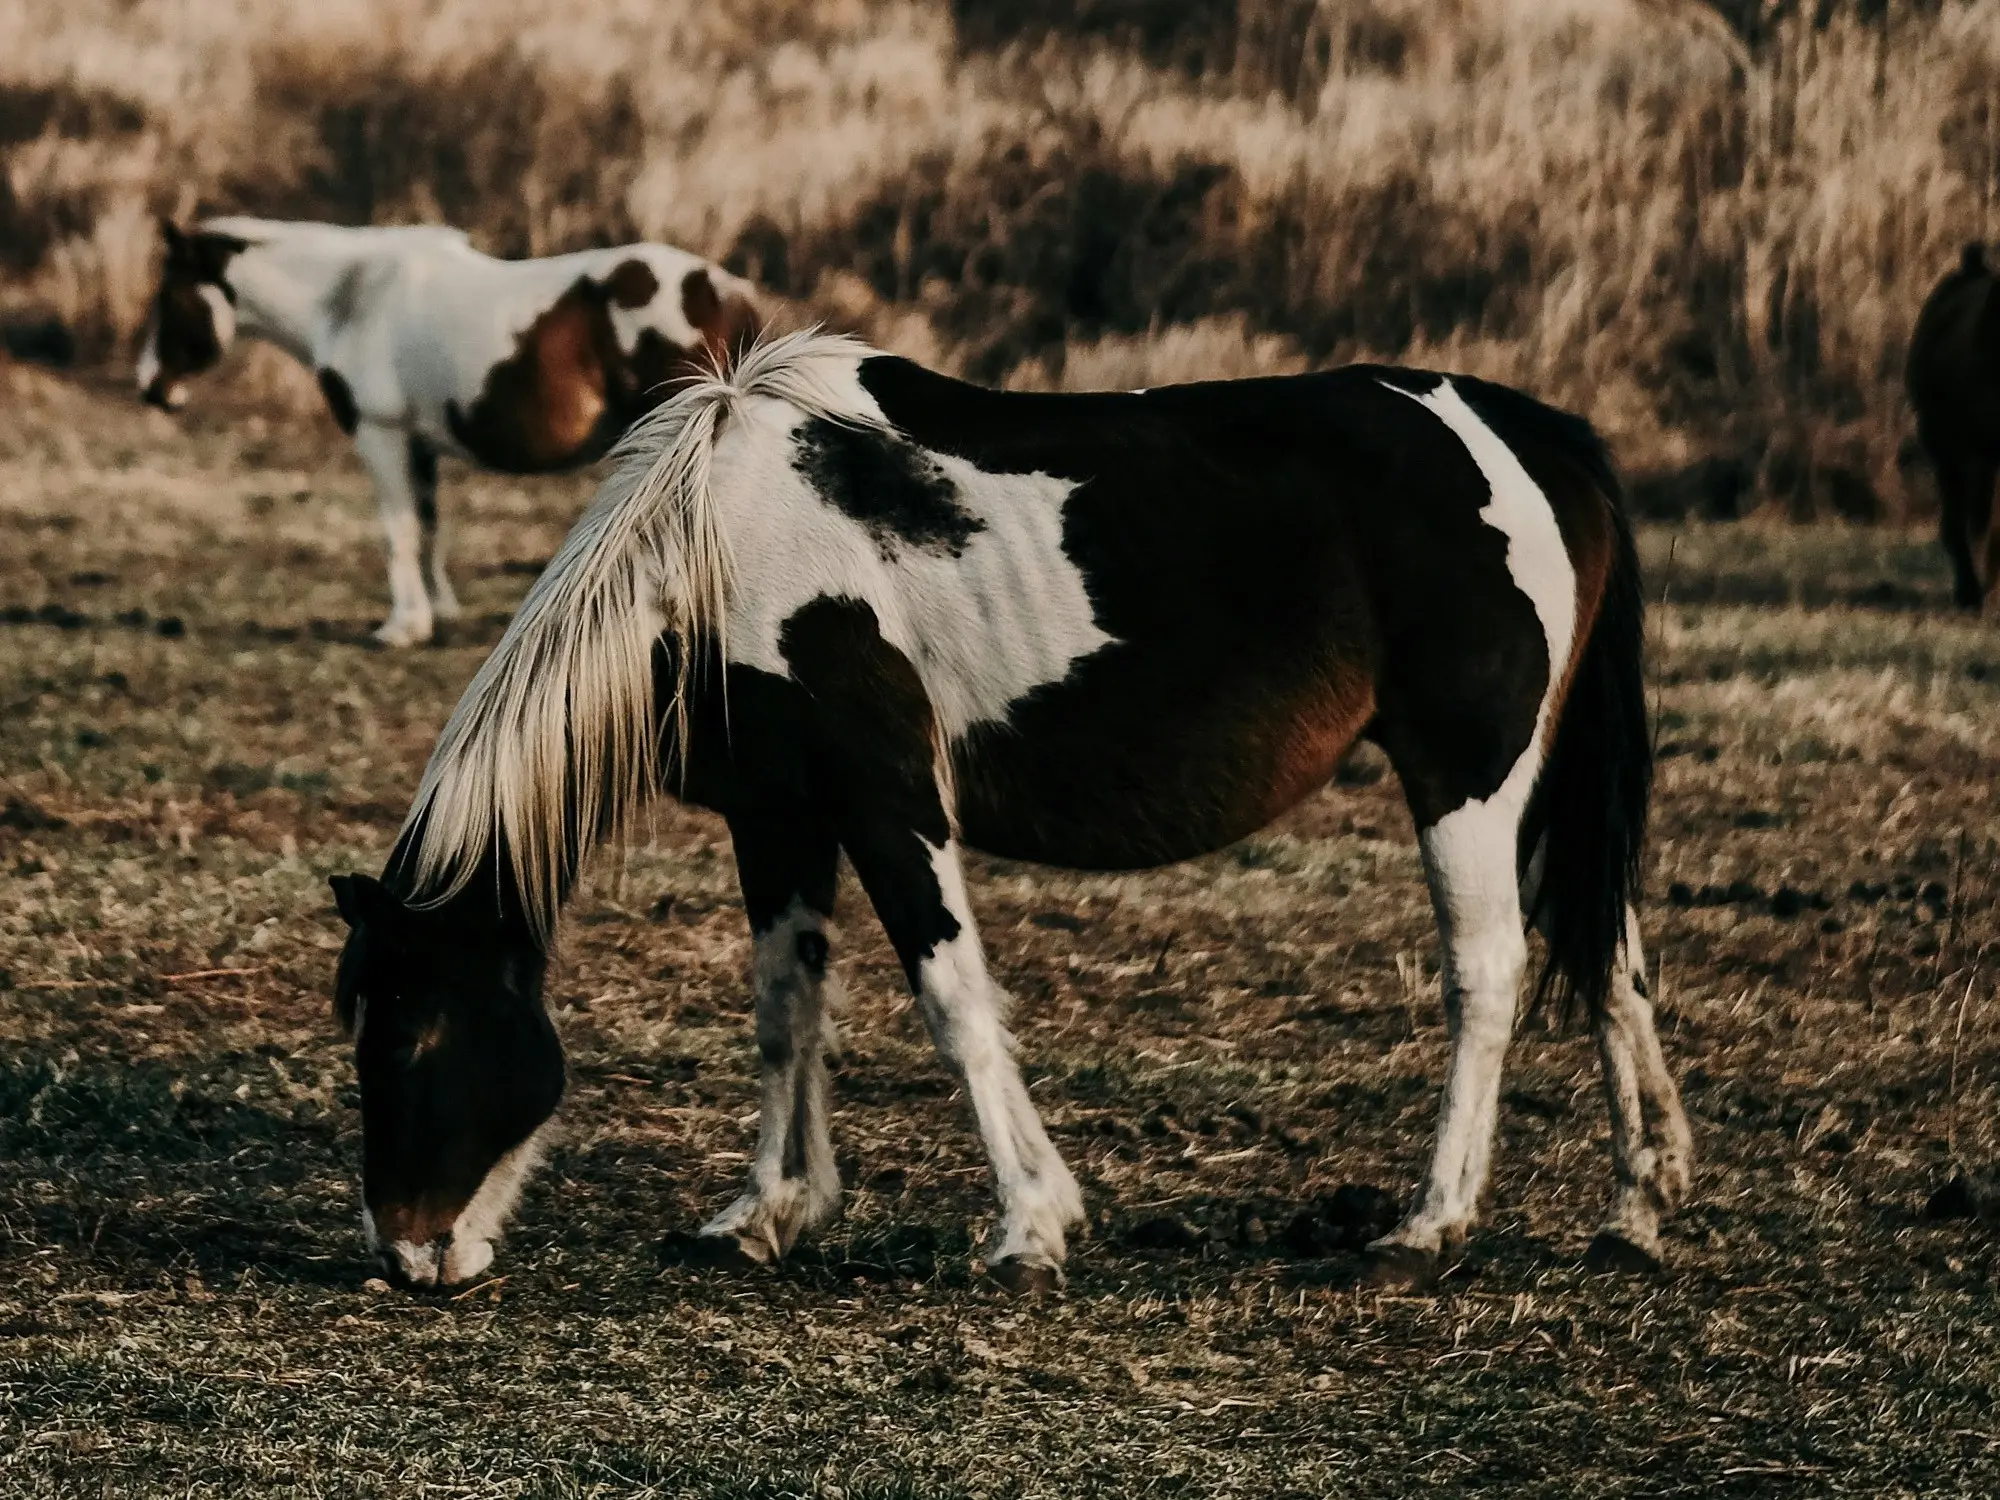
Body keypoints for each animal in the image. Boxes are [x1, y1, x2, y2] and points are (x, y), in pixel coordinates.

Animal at [133, 219, 756, 648]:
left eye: (168, 297)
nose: (149, 388)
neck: (351, 296)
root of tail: (722, 288)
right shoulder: (419, 445)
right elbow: (429, 528)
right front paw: (439, 613)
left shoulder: (380, 435)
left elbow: (399, 532)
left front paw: (402, 627)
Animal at [324, 334, 1688, 1296]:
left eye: (410, 1040)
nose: (407, 1255)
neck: (711, 548)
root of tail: (1536, 435)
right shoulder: (777, 816)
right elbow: (784, 1009)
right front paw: (764, 1214)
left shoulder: (887, 803)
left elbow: (953, 1003)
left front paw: (1028, 1227)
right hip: (1539, 783)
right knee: (1608, 954)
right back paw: (1637, 1207)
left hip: (1467, 778)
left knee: (1486, 975)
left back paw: (1426, 1226)